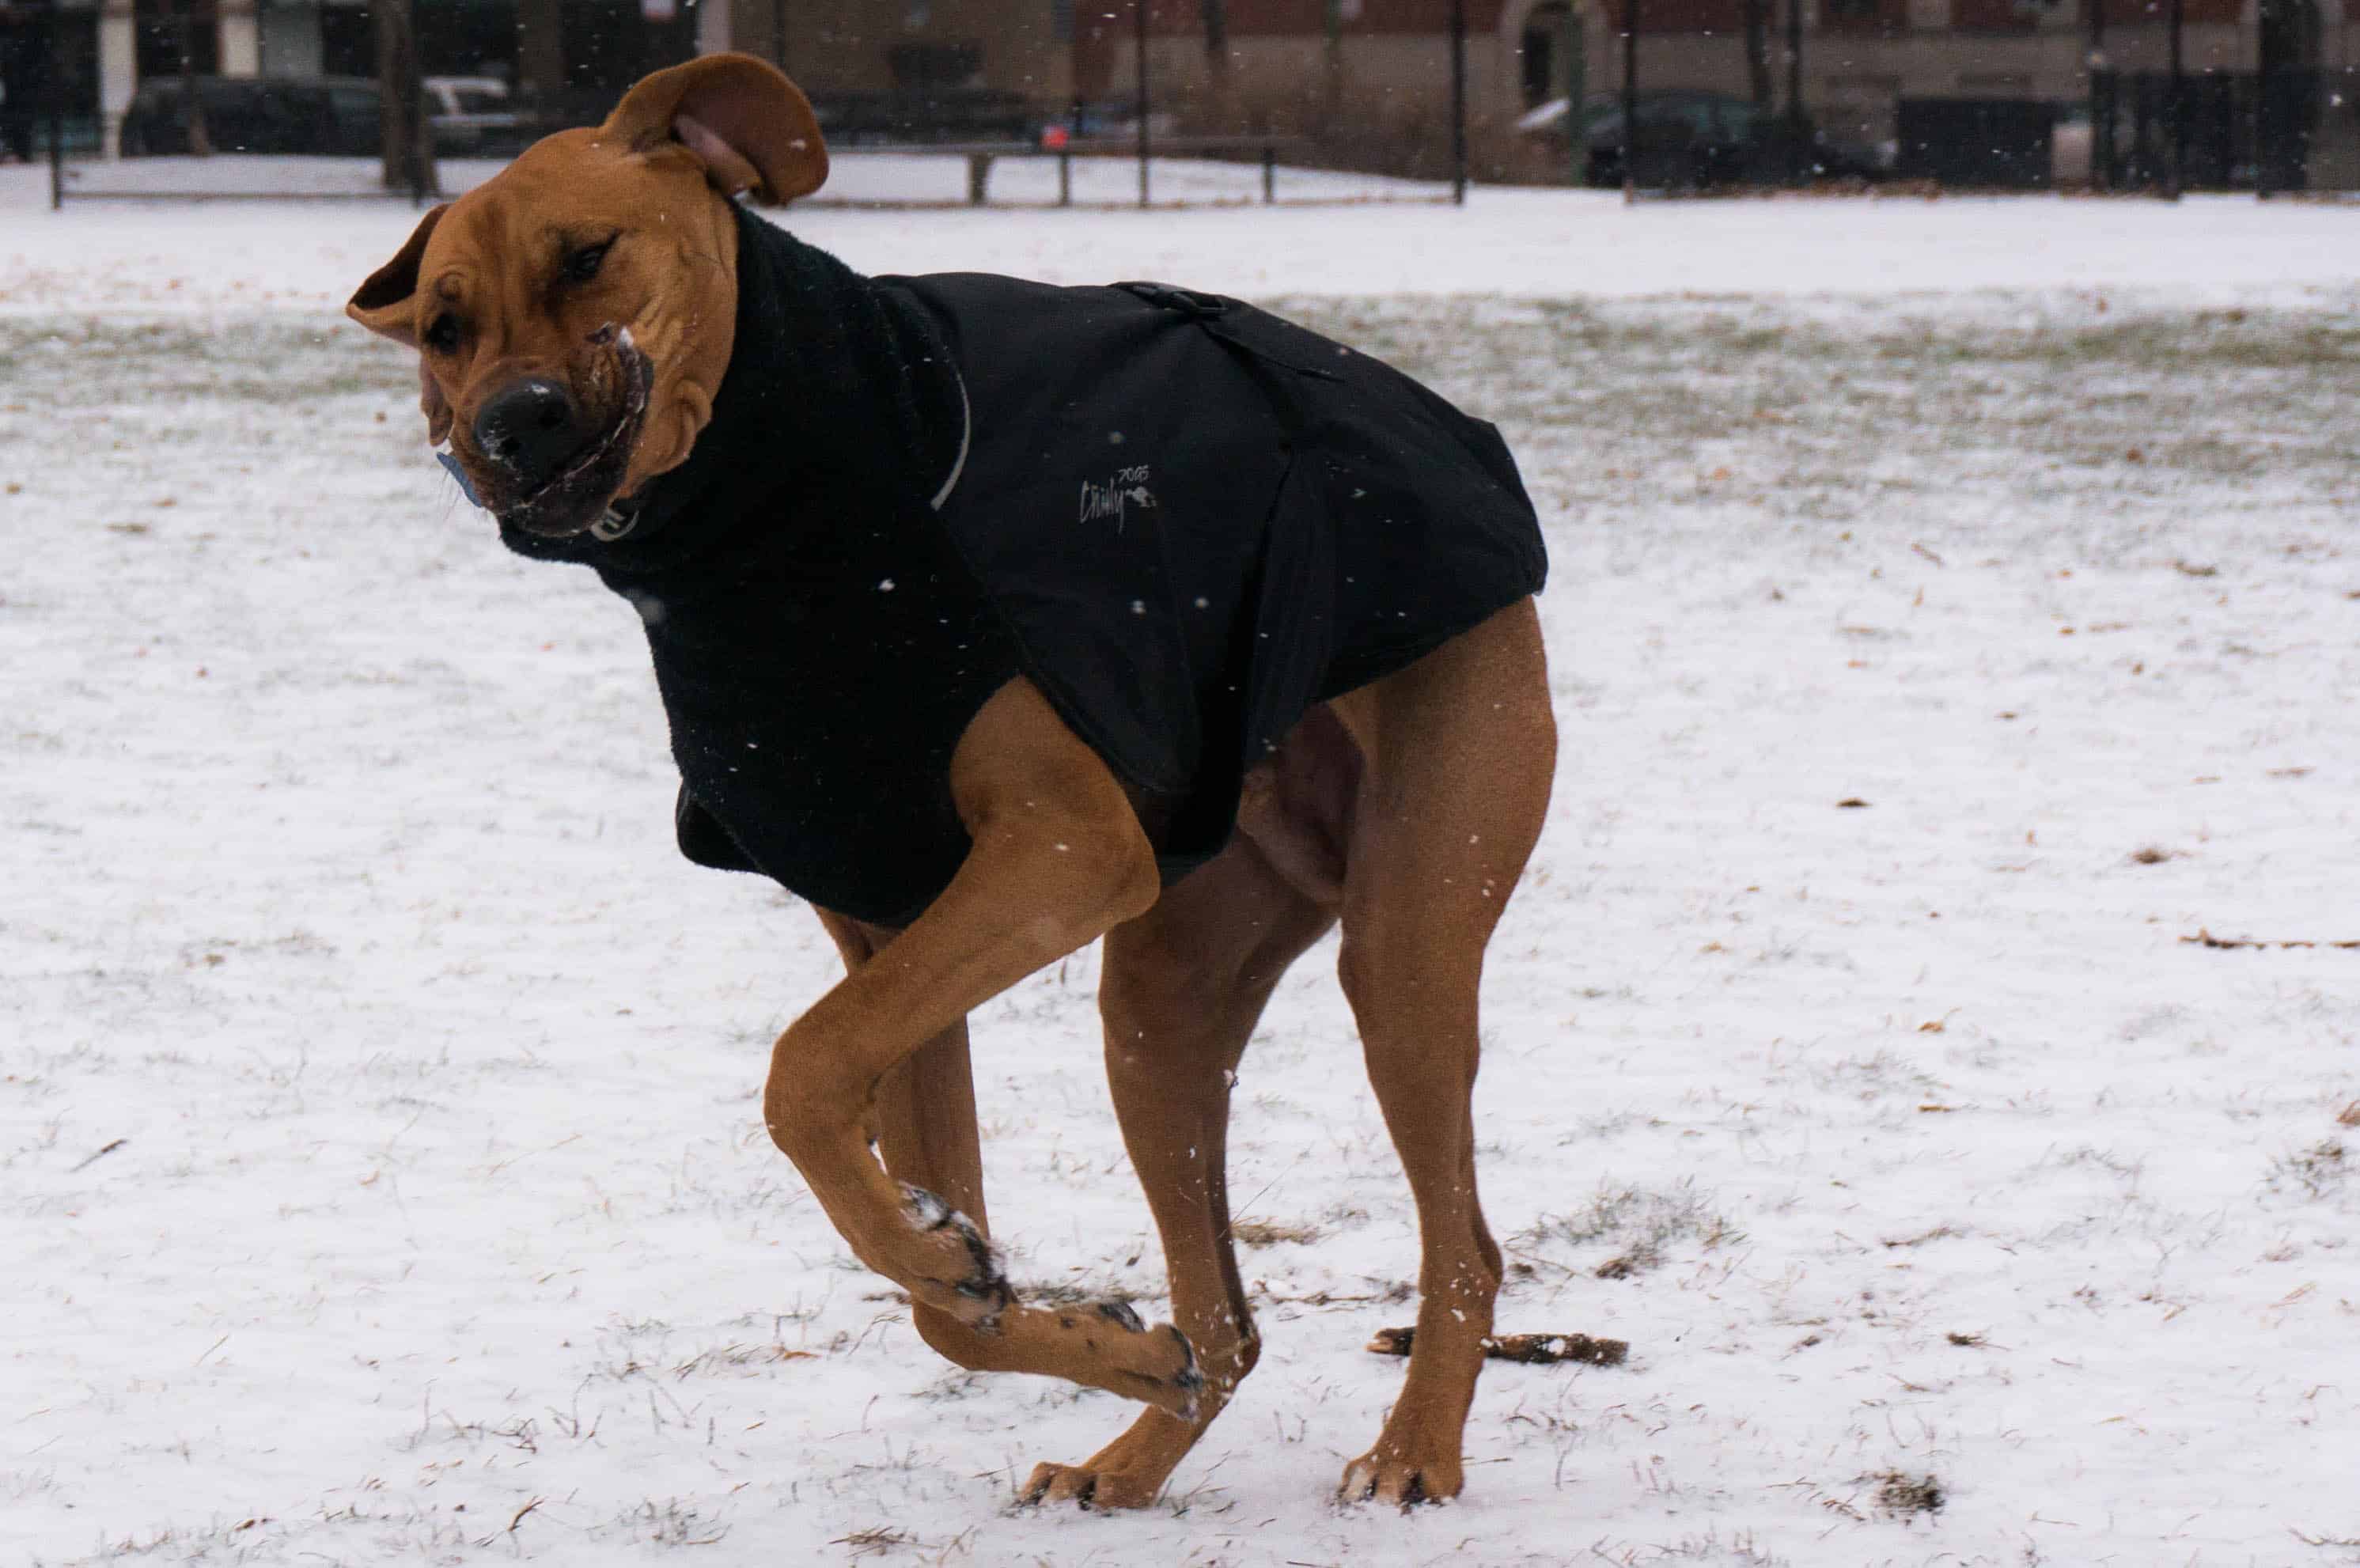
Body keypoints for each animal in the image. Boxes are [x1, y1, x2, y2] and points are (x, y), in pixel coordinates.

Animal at [349, 55, 1557, 1511]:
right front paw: (1047, 1310)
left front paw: (965, 1266)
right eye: (443, 328)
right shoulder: (892, 919)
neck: (760, 529)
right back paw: (1136, 1448)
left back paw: (1414, 1447)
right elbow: (937, 1279)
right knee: (1225, 1315)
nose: (507, 427)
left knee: (1463, 1237)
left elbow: (801, 1068)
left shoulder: (1060, 848)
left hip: (1406, 927)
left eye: (589, 255)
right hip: (1161, 1003)